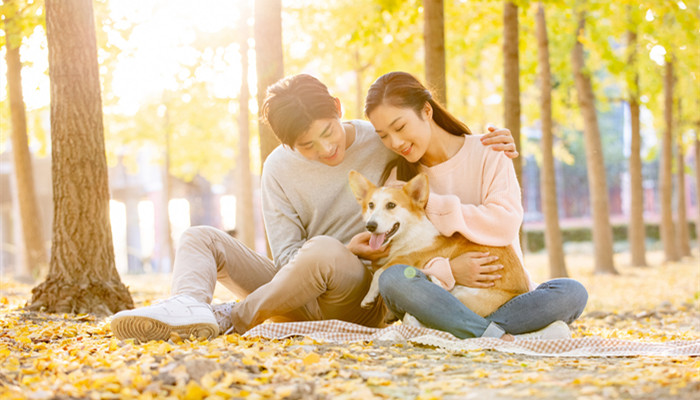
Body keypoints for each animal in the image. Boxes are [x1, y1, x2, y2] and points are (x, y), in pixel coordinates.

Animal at [348, 170, 528, 318]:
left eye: (391, 205)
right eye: (371, 205)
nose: (370, 226)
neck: (408, 233)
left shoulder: (407, 259)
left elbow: (379, 274)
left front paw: (368, 298)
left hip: (465, 296)